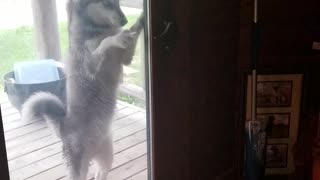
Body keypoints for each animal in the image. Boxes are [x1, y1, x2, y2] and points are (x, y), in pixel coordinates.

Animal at [20, 0, 144, 179]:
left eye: (118, 3)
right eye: (106, 3)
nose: (124, 20)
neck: (96, 30)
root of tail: (63, 126)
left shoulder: (125, 58)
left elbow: (133, 32)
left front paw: (142, 18)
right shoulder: (90, 66)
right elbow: (105, 43)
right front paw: (115, 37)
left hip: (107, 157)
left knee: (100, 173)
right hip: (79, 167)